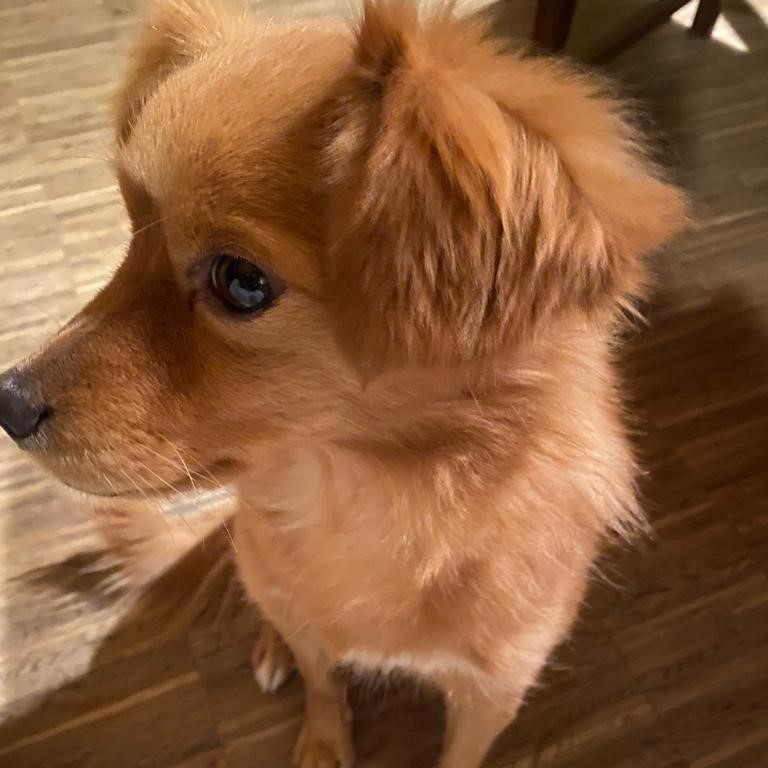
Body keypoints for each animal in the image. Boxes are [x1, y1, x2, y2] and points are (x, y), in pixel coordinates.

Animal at [0, 1, 687, 765]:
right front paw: (324, 741)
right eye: (131, 234)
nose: (8, 402)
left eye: (242, 282)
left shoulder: (492, 693)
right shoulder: (307, 619)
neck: (364, 502)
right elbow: (322, 683)